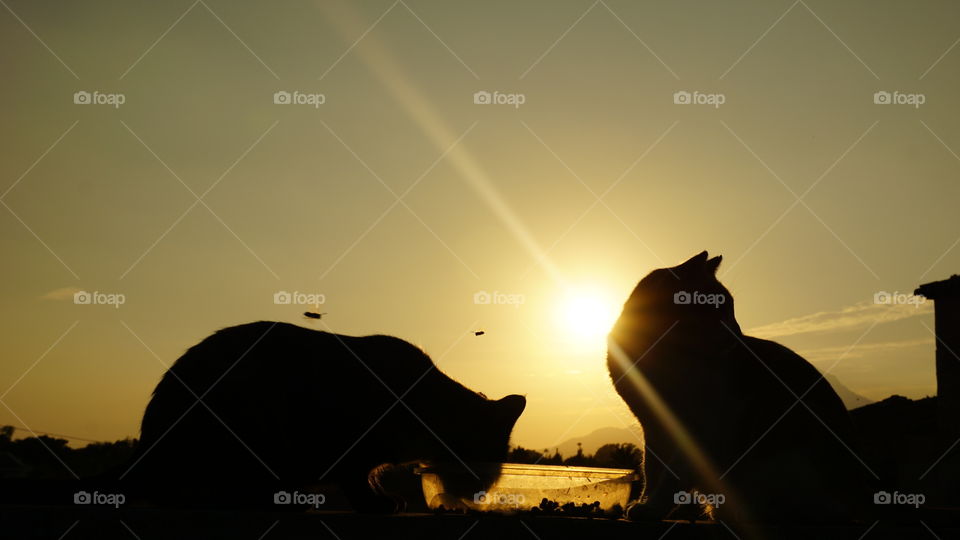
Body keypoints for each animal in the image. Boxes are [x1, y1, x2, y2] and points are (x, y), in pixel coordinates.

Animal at [129, 320, 524, 510]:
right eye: (486, 466)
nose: (479, 495)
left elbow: (367, 476)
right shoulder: (347, 445)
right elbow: (356, 480)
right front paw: (375, 504)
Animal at [612, 253, 872, 524]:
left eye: (733, 308)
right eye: (719, 307)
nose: (737, 331)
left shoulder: (702, 426)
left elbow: (673, 476)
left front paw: (654, 508)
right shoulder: (653, 426)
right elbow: (652, 469)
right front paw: (645, 504)